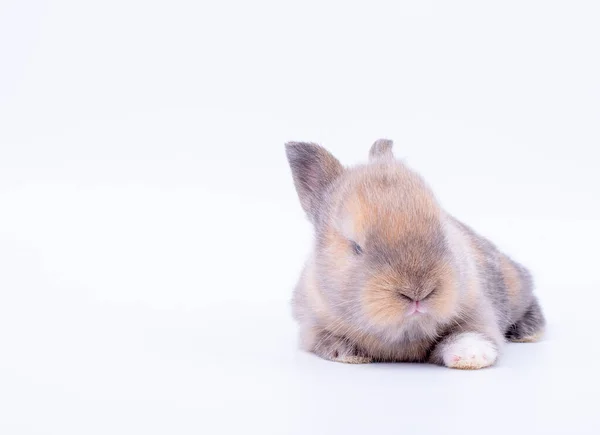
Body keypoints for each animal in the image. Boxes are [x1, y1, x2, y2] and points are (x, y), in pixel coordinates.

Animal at [284, 138, 544, 370]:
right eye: (356, 246)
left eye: (443, 227)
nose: (418, 293)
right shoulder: (311, 325)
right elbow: (328, 341)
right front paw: (351, 355)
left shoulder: (479, 307)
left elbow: (472, 332)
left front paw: (471, 356)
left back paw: (528, 333)